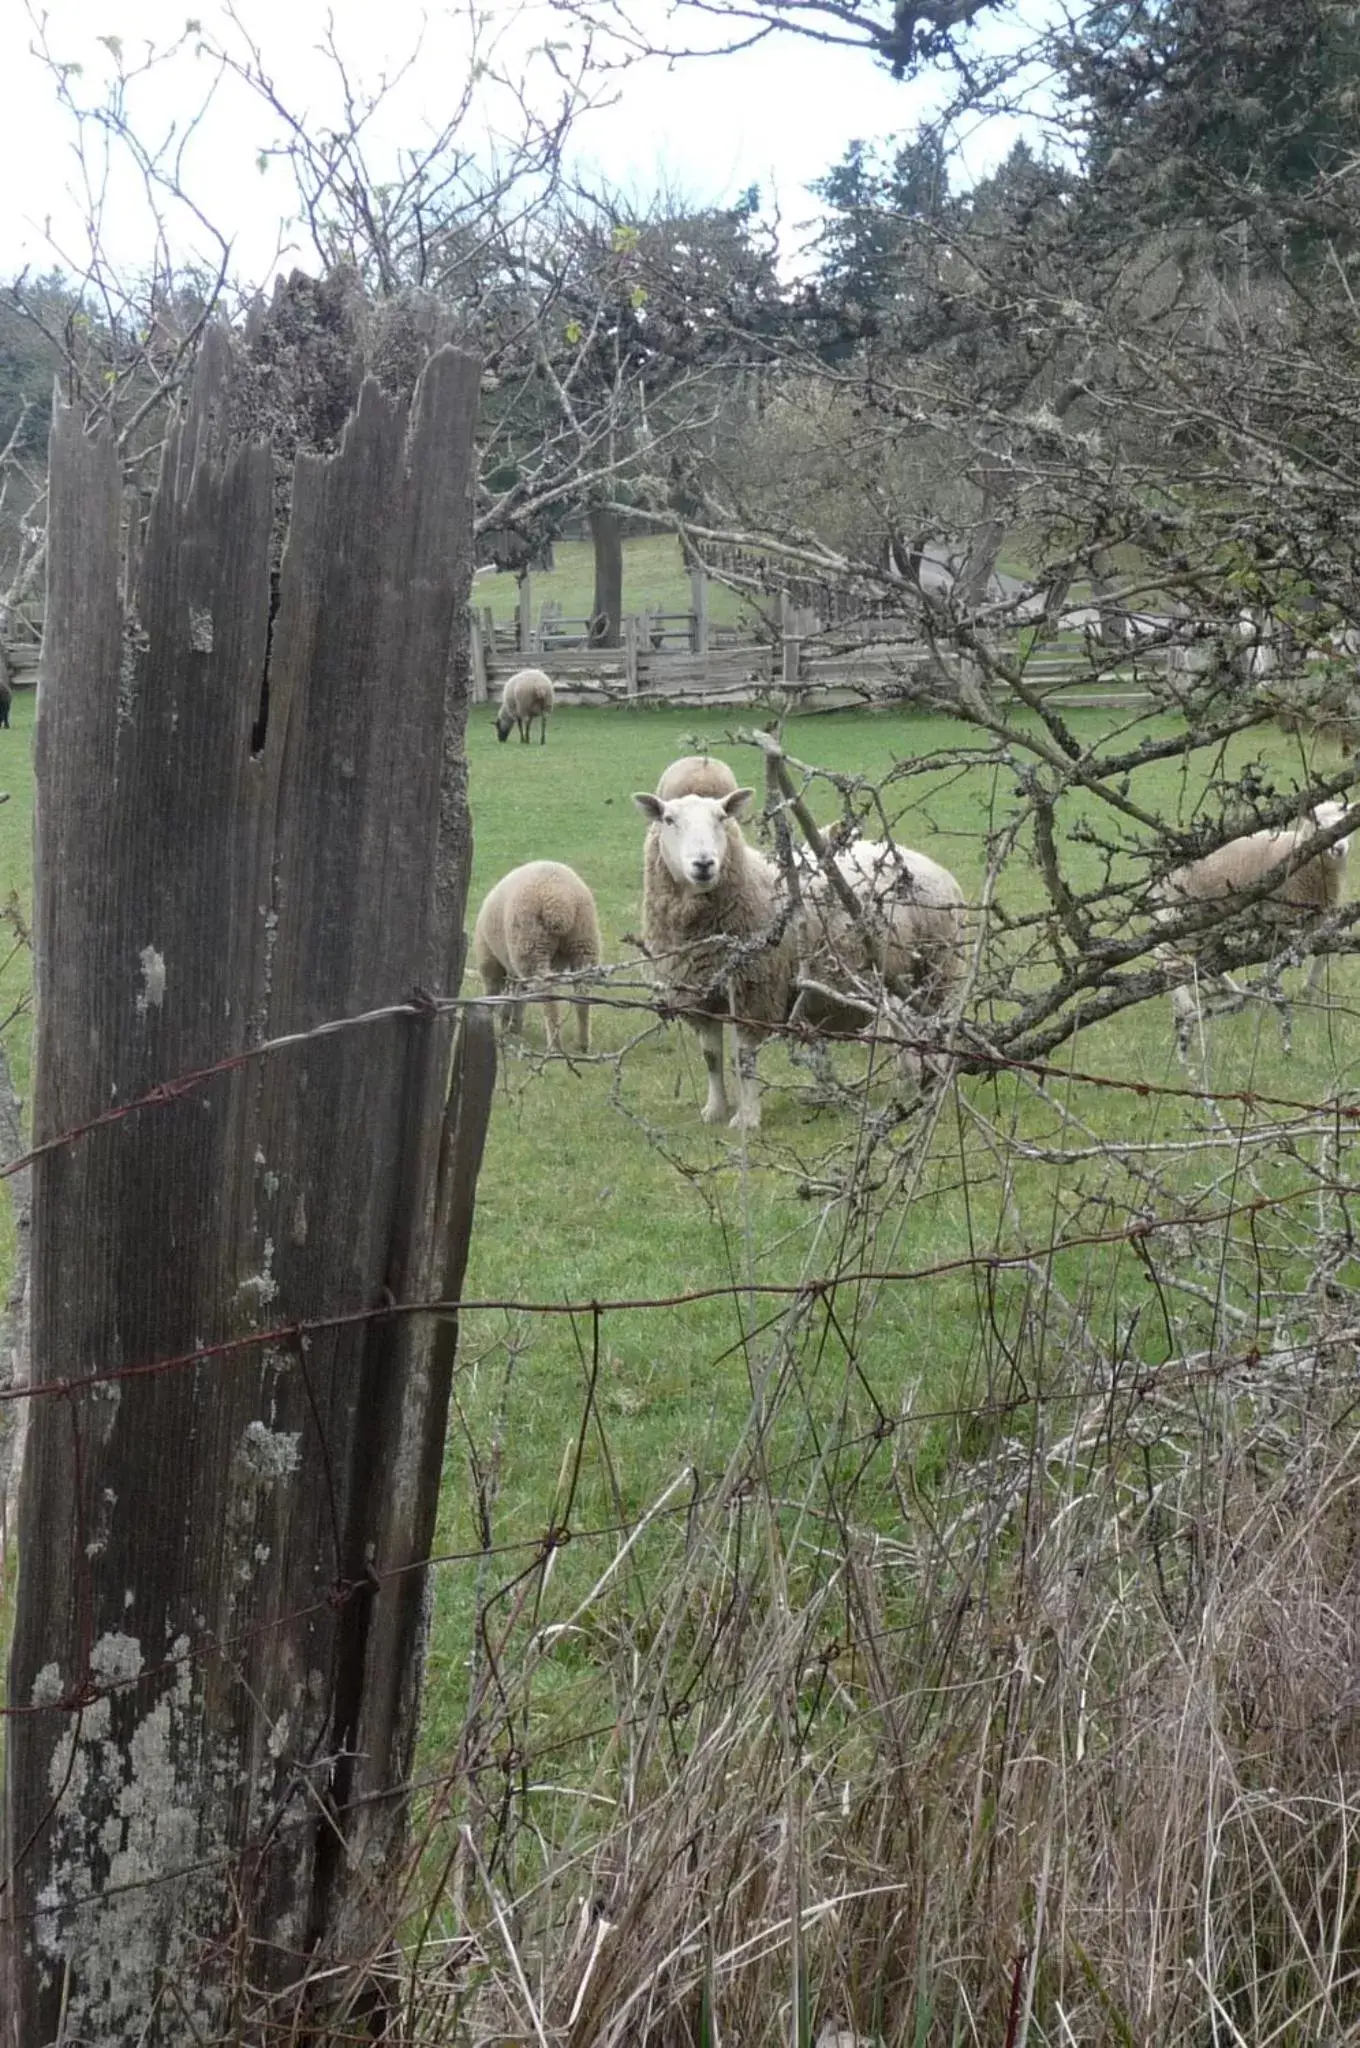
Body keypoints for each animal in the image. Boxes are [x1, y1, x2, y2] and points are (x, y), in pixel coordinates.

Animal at [473, 860, 602, 1056]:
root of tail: (559, 900)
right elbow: (520, 995)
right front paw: (512, 1024)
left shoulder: (490, 961)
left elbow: (493, 991)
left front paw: (494, 1018)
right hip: (583, 942)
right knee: (582, 991)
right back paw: (583, 1043)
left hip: (531, 945)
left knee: (546, 992)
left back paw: (555, 1046)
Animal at [639, 790, 966, 1130]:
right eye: (668, 820)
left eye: (721, 817)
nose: (703, 864)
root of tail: (933, 867)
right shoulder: (699, 996)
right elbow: (711, 1057)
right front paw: (714, 1110)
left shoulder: (754, 993)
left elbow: (744, 1059)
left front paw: (747, 1118)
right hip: (897, 976)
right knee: (902, 1023)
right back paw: (910, 1080)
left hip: (938, 968)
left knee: (940, 1026)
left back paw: (936, 1084)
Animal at [1155, 798, 1351, 1056]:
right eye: (1318, 823)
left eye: (1345, 823)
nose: (1338, 849)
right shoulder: (1280, 917)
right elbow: (1275, 960)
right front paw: (1274, 995)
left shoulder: (1320, 916)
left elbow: (1325, 953)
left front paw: (1308, 990)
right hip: (1184, 915)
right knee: (1166, 956)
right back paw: (1187, 1007)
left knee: (1202, 960)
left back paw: (1233, 995)